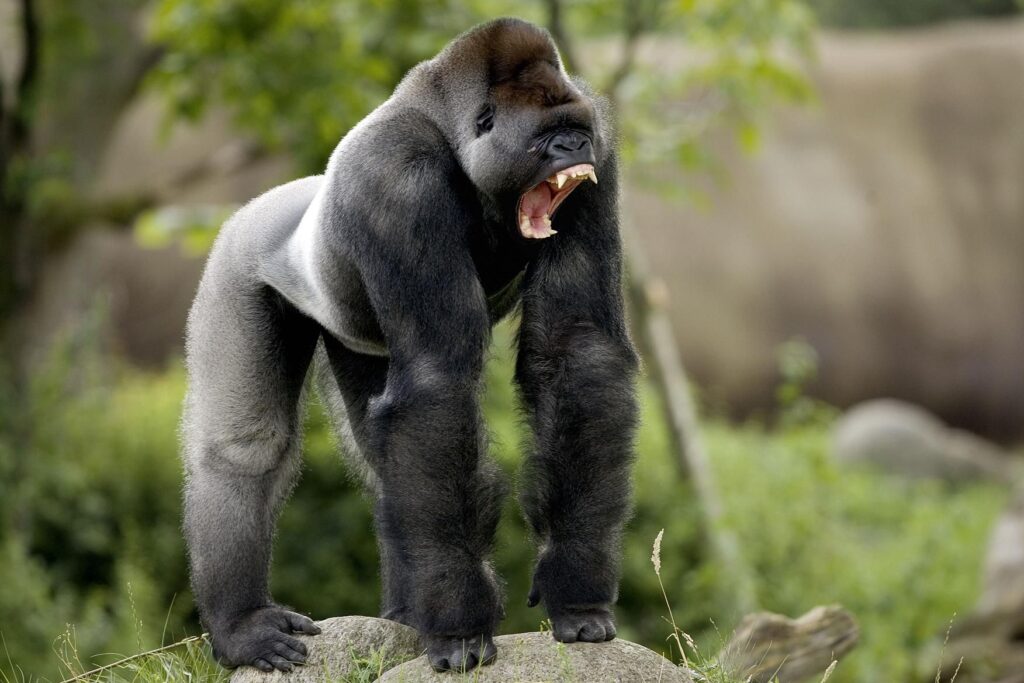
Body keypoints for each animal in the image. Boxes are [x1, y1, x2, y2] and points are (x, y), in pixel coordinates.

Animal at [181, 17, 638, 674]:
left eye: (577, 131)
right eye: (548, 137)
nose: (574, 149)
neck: (451, 131)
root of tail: (282, 197)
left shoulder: (601, 152)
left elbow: (577, 352)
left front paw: (575, 586)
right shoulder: (396, 180)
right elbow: (436, 381)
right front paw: (462, 626)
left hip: (349, 332)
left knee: (383, 454)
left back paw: (403, 615)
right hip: (238, 255)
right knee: (245, 449)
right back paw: (241, 624)